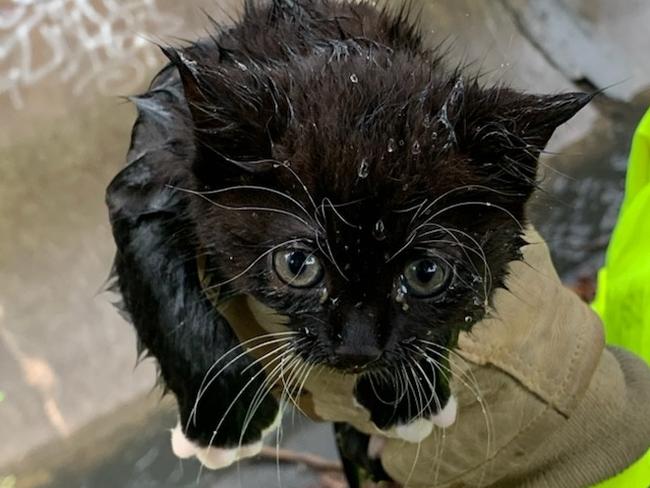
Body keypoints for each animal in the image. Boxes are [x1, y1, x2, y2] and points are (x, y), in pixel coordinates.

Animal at [105, 0, 588, 480]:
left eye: (426, 273)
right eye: (297, 265)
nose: (358, 348)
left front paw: (408, 400)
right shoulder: (152, 170)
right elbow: (166, 293)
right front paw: (224, 417)